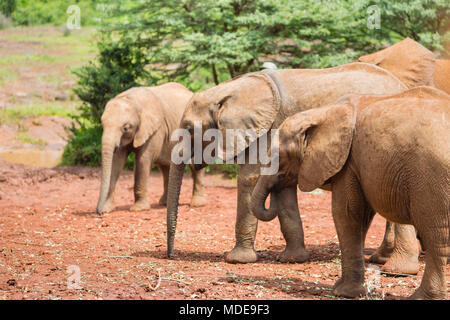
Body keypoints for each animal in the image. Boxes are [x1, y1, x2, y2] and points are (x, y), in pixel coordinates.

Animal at [97, 84, 207, 216]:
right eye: (102, 125)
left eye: (126, 128)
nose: (99, 212)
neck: (133, 100)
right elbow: (116, 161)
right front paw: (107, 208)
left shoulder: (155, 129)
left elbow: (142, 160)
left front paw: (138, 209)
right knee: (166, 167)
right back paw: (164, 203)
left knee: (194, 165)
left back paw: (197, 204)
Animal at [167, 60, 414, 264]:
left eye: (189, 128)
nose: (171, 255)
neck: (228, 90)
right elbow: (282, 186)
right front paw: (292, 259)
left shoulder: (268, 129)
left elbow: (249, 178)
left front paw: (237, 260)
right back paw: (380, 258)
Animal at [253, 86, 450, 298]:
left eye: (277, 156)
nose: (278, 183)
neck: (321, 112)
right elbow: (361, 218)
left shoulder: (348, 162)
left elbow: (347, 214)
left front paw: (342, 292)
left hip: (432, 177)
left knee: (435, 238)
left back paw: (422, 297)